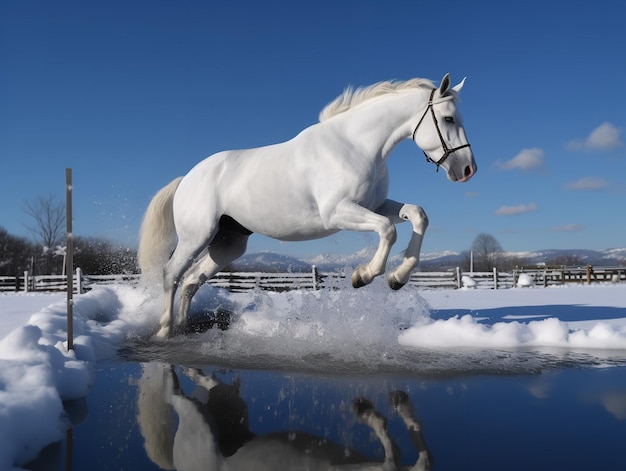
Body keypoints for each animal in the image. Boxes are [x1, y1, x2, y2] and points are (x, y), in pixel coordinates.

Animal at [139, 73, 476, 340]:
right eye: (448, 118)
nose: (468, 169)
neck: (356, 146)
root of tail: (187, 178)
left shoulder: (376, 205)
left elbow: (418, 215)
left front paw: (397, 278)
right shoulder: (338, 212)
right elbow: (388, 230)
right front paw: (363, 276)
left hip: (228, 245)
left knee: (191, 281)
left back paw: (183, 328)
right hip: (197, 236)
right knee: (171, 274)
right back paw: (165, 330)